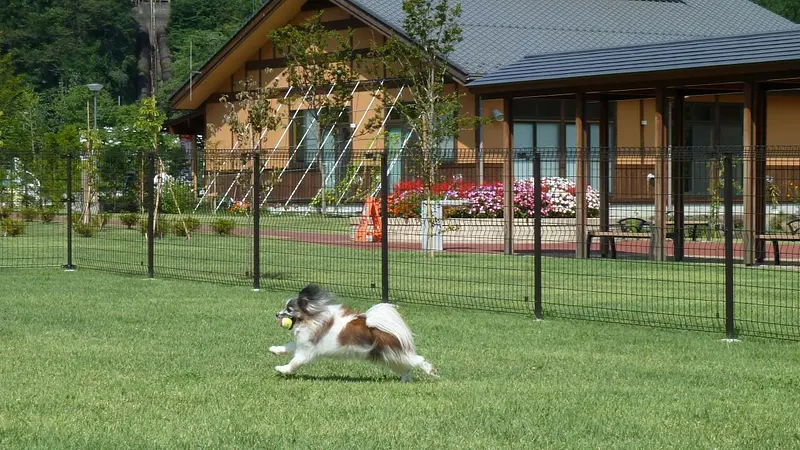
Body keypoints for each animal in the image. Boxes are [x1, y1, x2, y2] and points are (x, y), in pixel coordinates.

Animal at [274, 284, 438, 382]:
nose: (276, 314)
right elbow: (289, 346)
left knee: (418, 360)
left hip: (394, 354)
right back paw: (405, 380)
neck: (312, 318)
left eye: (289, 310)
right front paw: (275, 350)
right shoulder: (303, 343)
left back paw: (431, 372)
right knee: (405, 368)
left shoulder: (306, 352)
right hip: (390, 358)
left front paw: (281, 369)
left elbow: (294, 362)